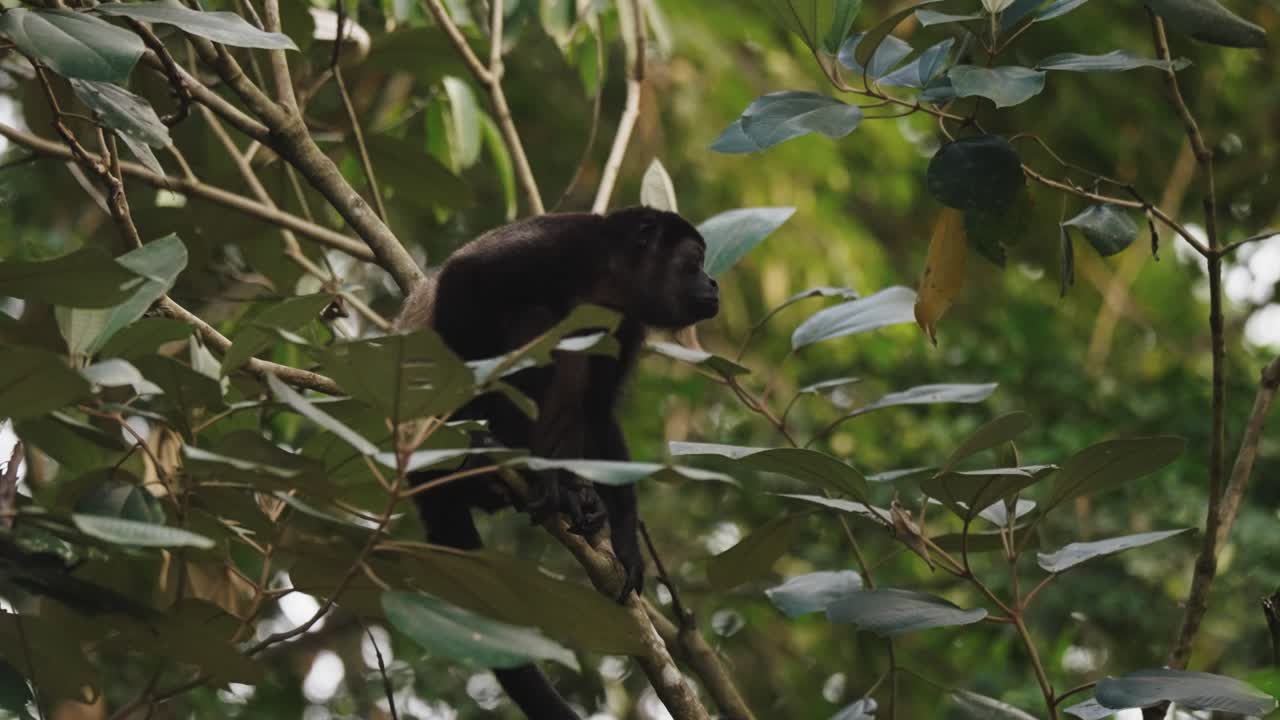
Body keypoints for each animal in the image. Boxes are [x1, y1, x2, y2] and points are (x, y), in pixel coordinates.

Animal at [394, 206, 719, 720]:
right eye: (695, 260)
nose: (714, 281)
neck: (606, 281)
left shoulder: (625, 324)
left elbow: (599, 409)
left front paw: (626, 540)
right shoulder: (556, 247)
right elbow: (466, 278)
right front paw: (467, 425)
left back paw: (570, 492)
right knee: (534, 318)